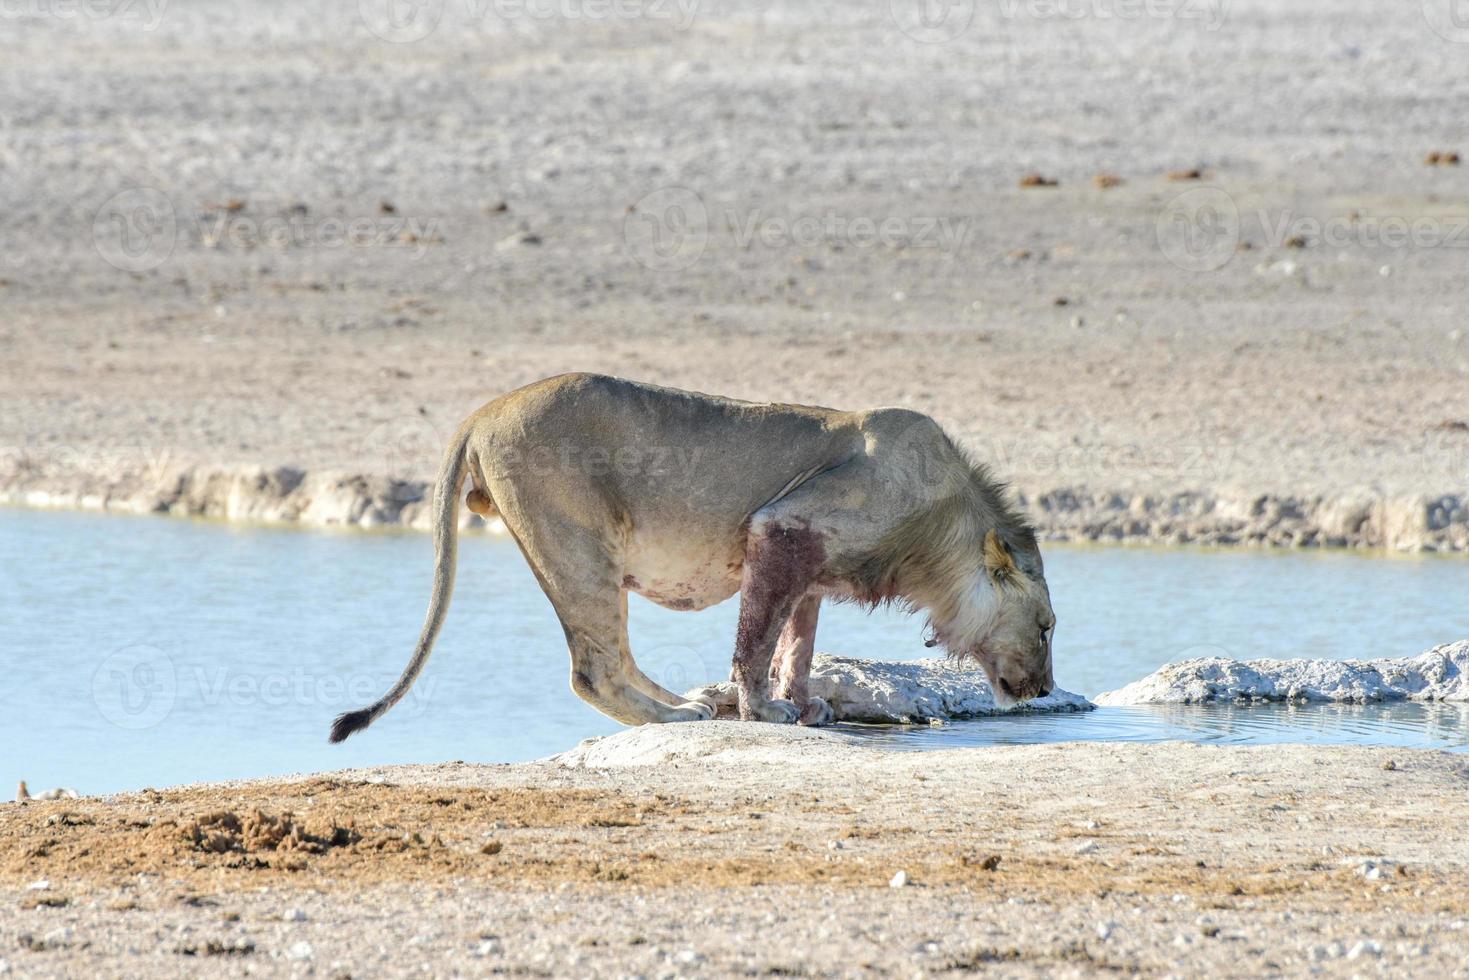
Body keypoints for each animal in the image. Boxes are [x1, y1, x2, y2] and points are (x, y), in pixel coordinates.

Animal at [330, 371, 1057, 740]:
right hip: (578, 548)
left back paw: (684, 700)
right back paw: (676, 714)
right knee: (591, 670)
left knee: (615, 657)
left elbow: (794, 644)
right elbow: (755, 641)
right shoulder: (780, 526)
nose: (1047, 688)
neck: (942, 529)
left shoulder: (808, 569)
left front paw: (804, 705)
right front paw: (763, 711)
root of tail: (482, 411)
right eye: (1047, 628)